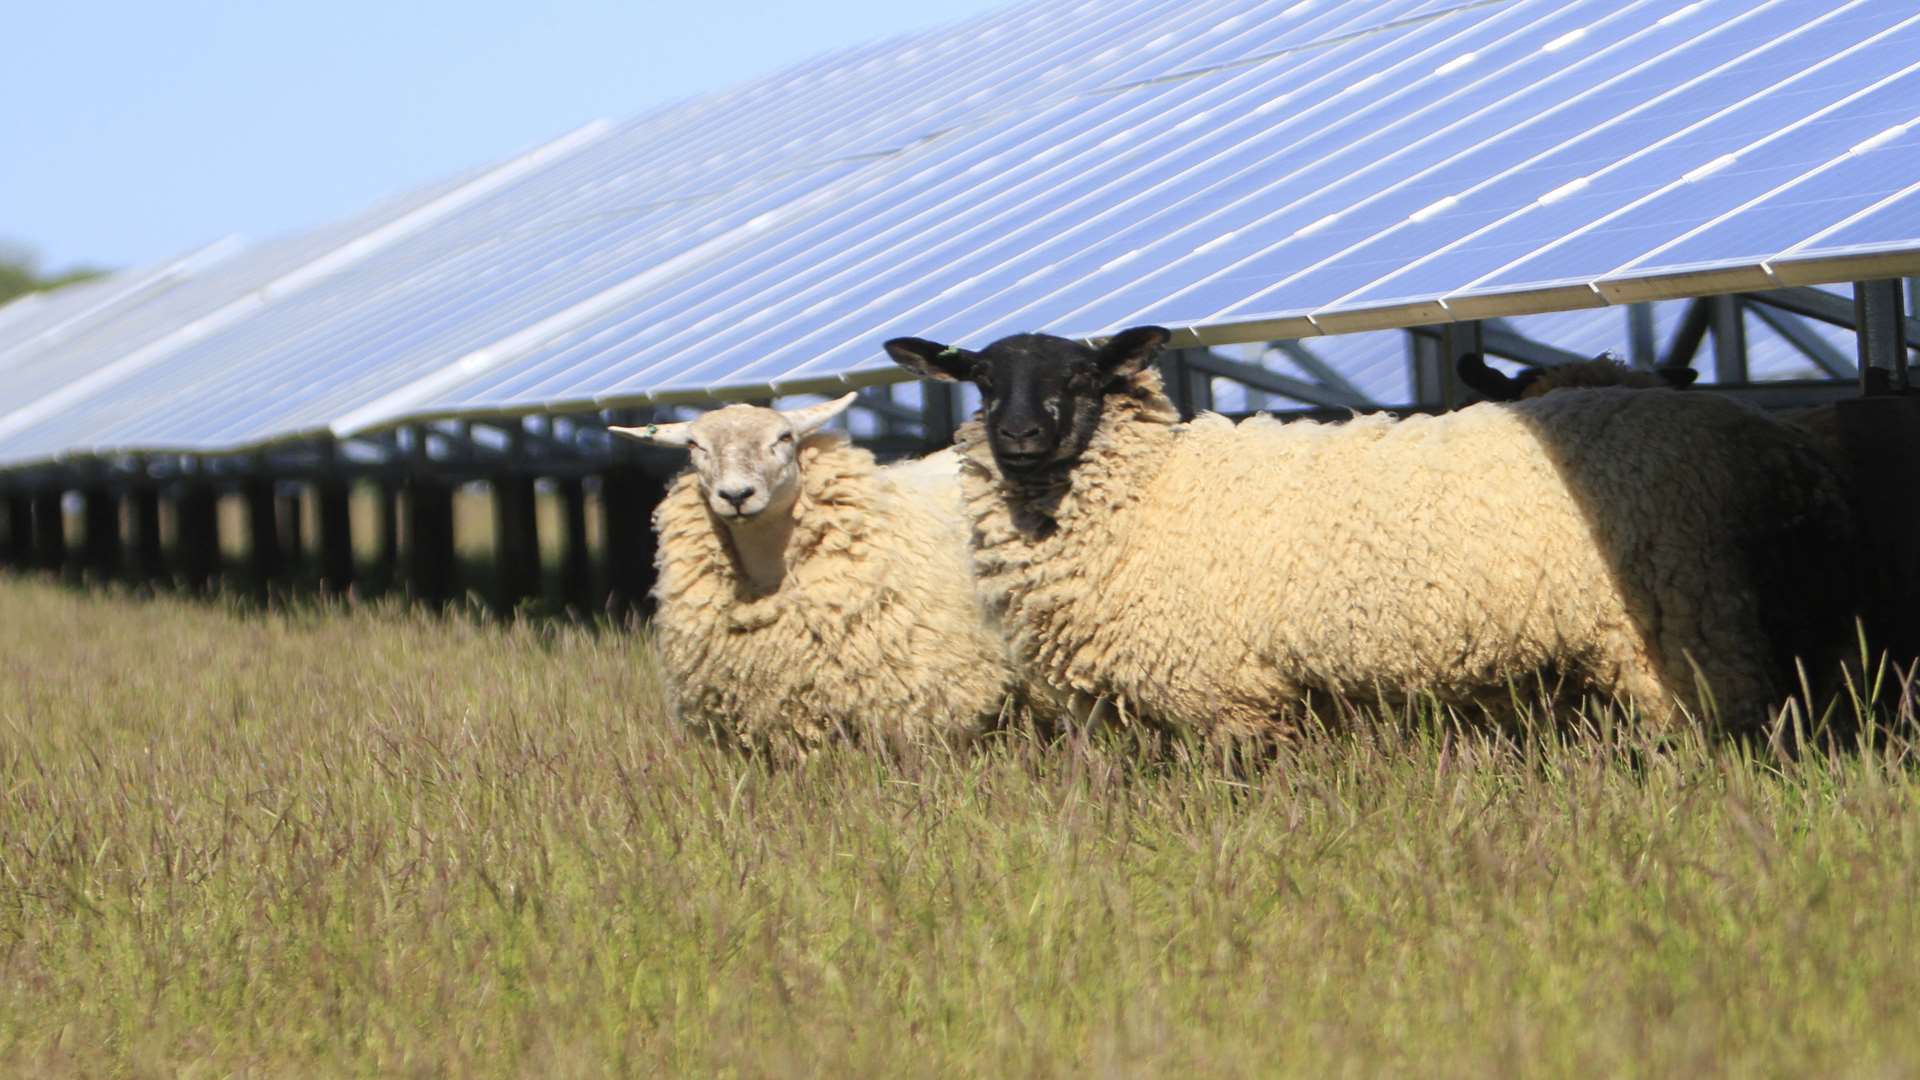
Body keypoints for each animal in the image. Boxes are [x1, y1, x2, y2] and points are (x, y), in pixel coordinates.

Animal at [883, 326, 1858, 730]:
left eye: (1083, 379)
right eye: (979, 378)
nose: (1019, 435)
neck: (1153, 492)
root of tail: (1751, 433)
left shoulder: (1224, 691)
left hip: (1678, 625)